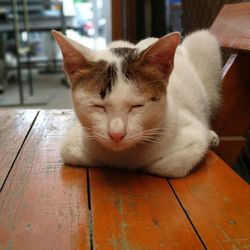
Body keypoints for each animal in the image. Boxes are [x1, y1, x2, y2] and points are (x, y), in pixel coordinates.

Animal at [51, 29, 222, 178]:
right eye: (98, 106)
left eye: (137, 106)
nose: (116, 134)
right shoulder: (72, 143)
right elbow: (75, 154)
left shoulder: (192, 140)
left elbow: (170, 165)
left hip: (205, 44)